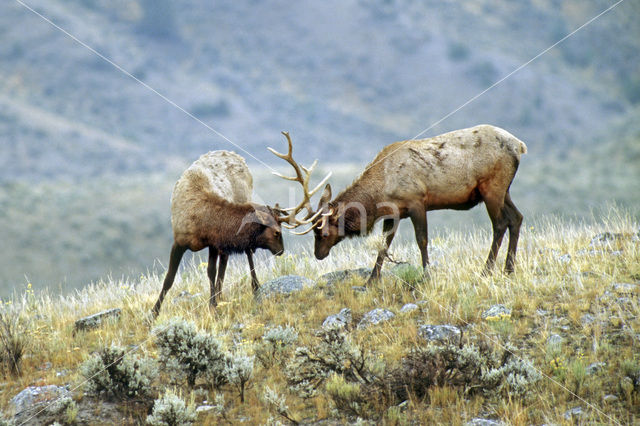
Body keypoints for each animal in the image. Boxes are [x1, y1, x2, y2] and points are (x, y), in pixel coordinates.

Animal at [152, 141, 328, 318]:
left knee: (242, 256)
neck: (202, 225)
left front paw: (212, 306)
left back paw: (253, 287)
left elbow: (211, 272)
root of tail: (235, 155)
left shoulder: (213, 243)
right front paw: (154, 312)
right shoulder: (180, 241)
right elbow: (169, 278)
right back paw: (221, 295)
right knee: (225, 261)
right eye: (277, 232)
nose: (281, 251)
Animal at [282, 124, 528, 282]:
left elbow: (422, 240)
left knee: (500, 224)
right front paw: (371, 280)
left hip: (492, 186)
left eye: (322, 233)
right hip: (503, 190)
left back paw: (487, 271)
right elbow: (384, 245)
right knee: (517, 218)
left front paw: (426, 275)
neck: (380, 194)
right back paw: (509, 269)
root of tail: (520, 145)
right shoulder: (393, 213)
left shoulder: (417, 202)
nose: (318, 255)